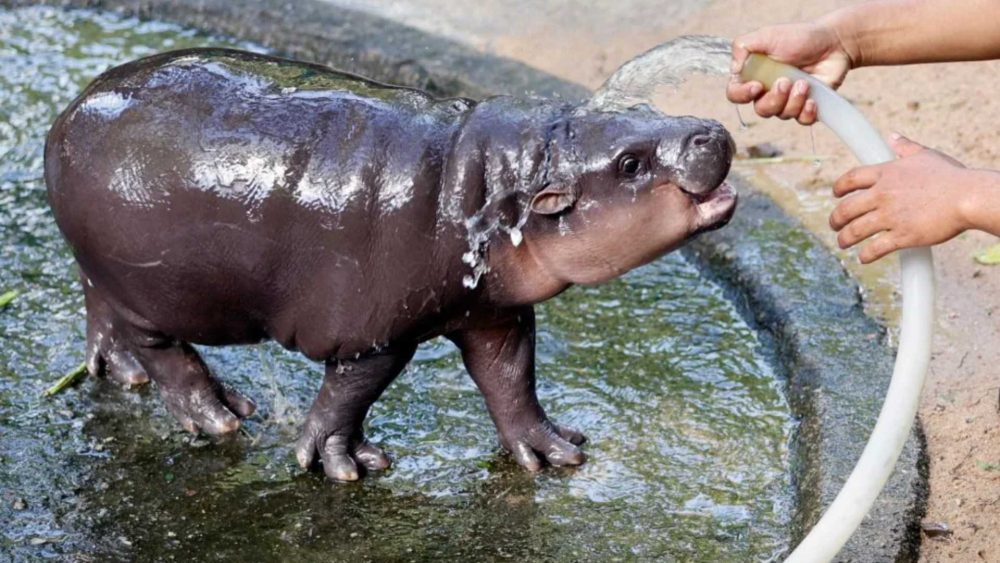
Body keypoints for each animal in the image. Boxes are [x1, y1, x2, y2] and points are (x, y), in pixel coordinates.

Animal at [44, 48, 736, 481]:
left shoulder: (495, 314)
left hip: (102, 266)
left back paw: (122, 374)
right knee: (164, 349)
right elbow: (350, 396)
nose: (714, 132)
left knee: (101, 308)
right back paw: (221, 417)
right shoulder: (374, 334)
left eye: (641, 111)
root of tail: (70, 110)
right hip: (154, 288)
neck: (493, 180)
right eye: (629, 163)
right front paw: (346, 466)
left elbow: (511, 381)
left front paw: (555, 452)